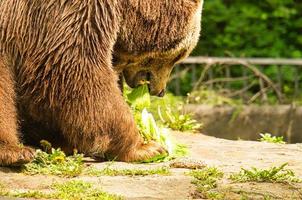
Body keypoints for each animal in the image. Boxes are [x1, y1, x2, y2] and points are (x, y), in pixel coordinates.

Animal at [0, 0, 203, 166]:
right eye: (179, 55)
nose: (160, 91)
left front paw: (61, 141)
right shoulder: (72, 11)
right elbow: (76, 69)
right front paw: (146, 147)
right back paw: (15, 151)